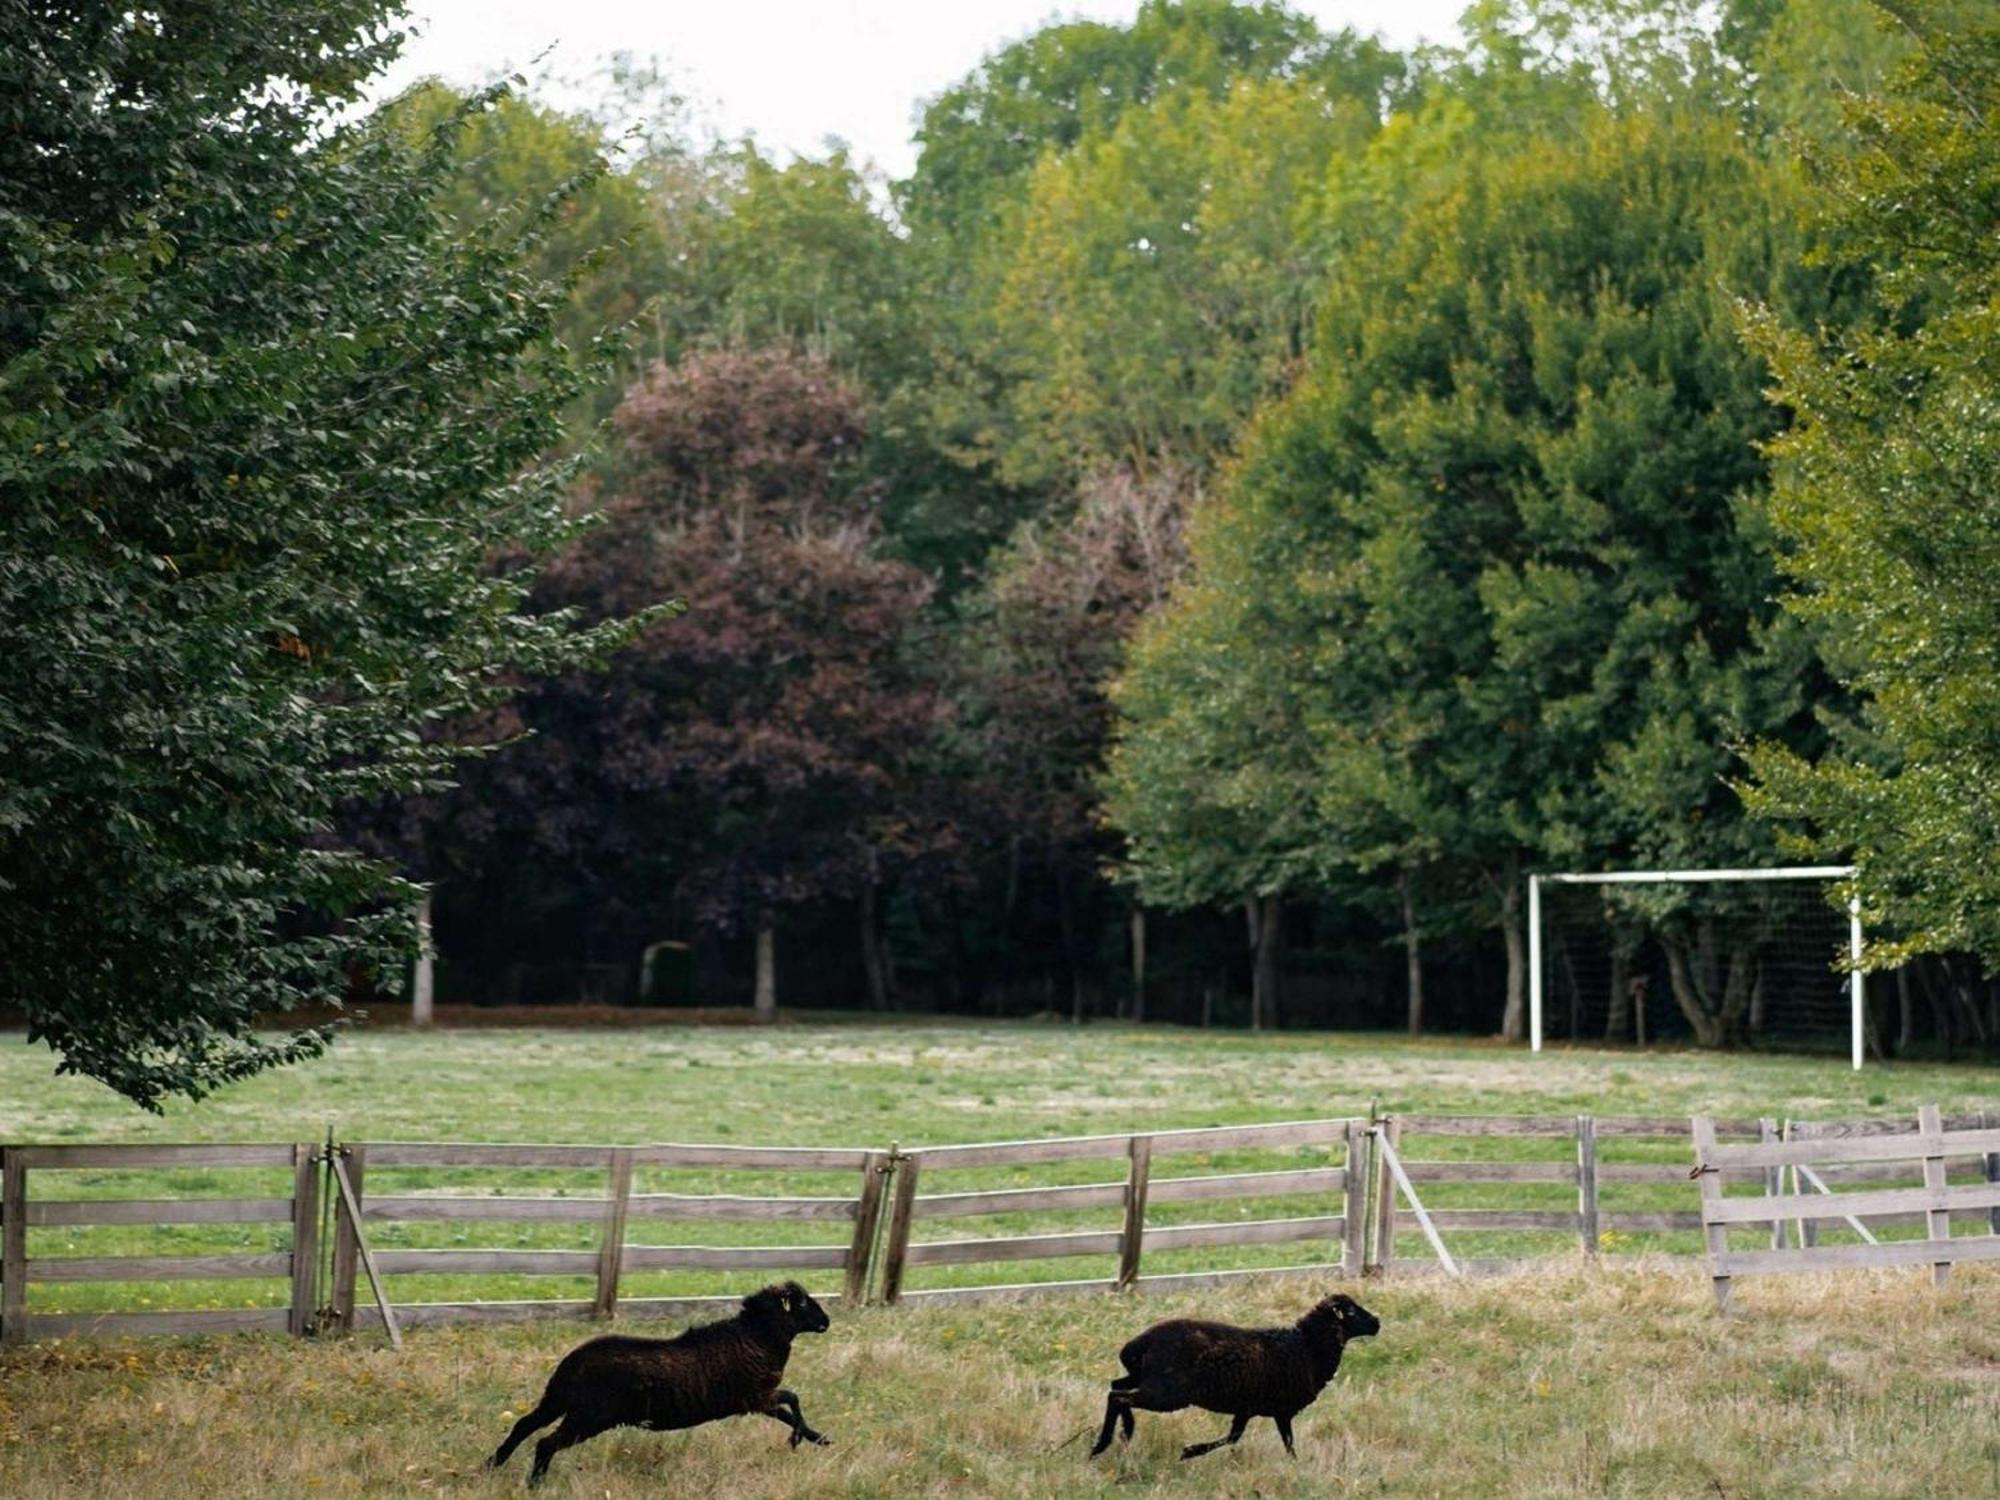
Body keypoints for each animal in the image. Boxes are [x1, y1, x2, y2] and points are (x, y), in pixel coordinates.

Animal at [492, 1288, 836, 1488]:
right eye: (801, 1301)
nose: (827, 1321)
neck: (757, 1337)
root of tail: (574, 1362)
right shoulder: (755, 1396)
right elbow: (793, 1399)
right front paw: (799, 1439)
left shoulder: (754, 1402)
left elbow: (787, 1412)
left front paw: (819, 1439)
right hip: (588, 1416)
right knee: (545, 1443)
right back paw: (534, 1485)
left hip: (557, 1400)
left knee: (524, 1425)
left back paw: (492, 1465)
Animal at [1088, 1296, 1384, 1464]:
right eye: (1351, 1312)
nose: (1377, 1323)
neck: (1308, 1348)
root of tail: (1137, 1344)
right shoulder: (1281, 1410)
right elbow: (1284, 1443)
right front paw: (1189, 1452)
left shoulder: (1248, 1408)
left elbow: (1235, 1437)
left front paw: (1190, 1451)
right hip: (1167, 1393)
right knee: (1118, 1397)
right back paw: (1106, 1443)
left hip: (1145, 1378)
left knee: (1115, 1387)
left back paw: (1121, 1435)